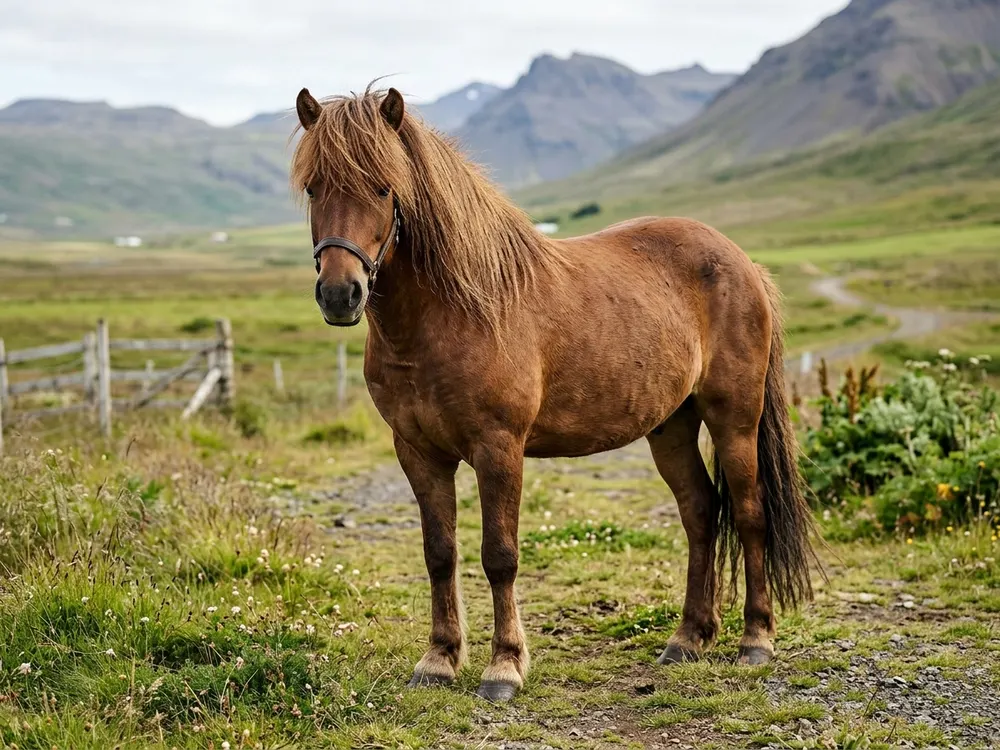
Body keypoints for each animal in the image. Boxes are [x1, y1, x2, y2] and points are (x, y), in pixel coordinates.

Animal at [290, 84, 818, 702]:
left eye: (383, 186)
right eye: (313, 187)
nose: (340, 294)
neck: (454, 312)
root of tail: (743, 263)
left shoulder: (498, 449)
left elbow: (500, 556)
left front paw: (504, 667)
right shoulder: (418, 452)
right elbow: (439, 553)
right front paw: (439, 660)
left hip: (734, 418)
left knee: (751, 513)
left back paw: (755, 640)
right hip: (671, 426)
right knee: (700, 511)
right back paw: (689, 637)